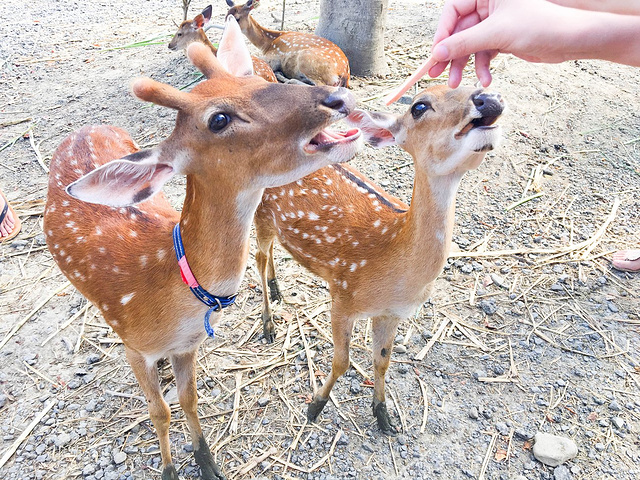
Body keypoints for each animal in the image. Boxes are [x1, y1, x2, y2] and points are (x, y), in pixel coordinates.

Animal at [44, 15, 362, 480]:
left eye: (254, 78)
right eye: (219, 119)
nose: (337, 98)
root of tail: (83, 129)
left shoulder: (189, 345)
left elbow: (188, 398)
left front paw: (206, 459)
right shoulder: (135, 346)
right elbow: (159, 410)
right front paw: (169, 469)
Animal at [252, 85, 502, 436]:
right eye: (419, 106)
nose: (486, 98)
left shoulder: (392, 314)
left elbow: (382, 360)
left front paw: (384, 417)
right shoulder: (342, 296)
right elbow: (342, 360)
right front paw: (315, 406)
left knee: (271, 251)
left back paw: (277, 290)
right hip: (260, 210)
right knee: (258, 258)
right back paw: (269, 324)